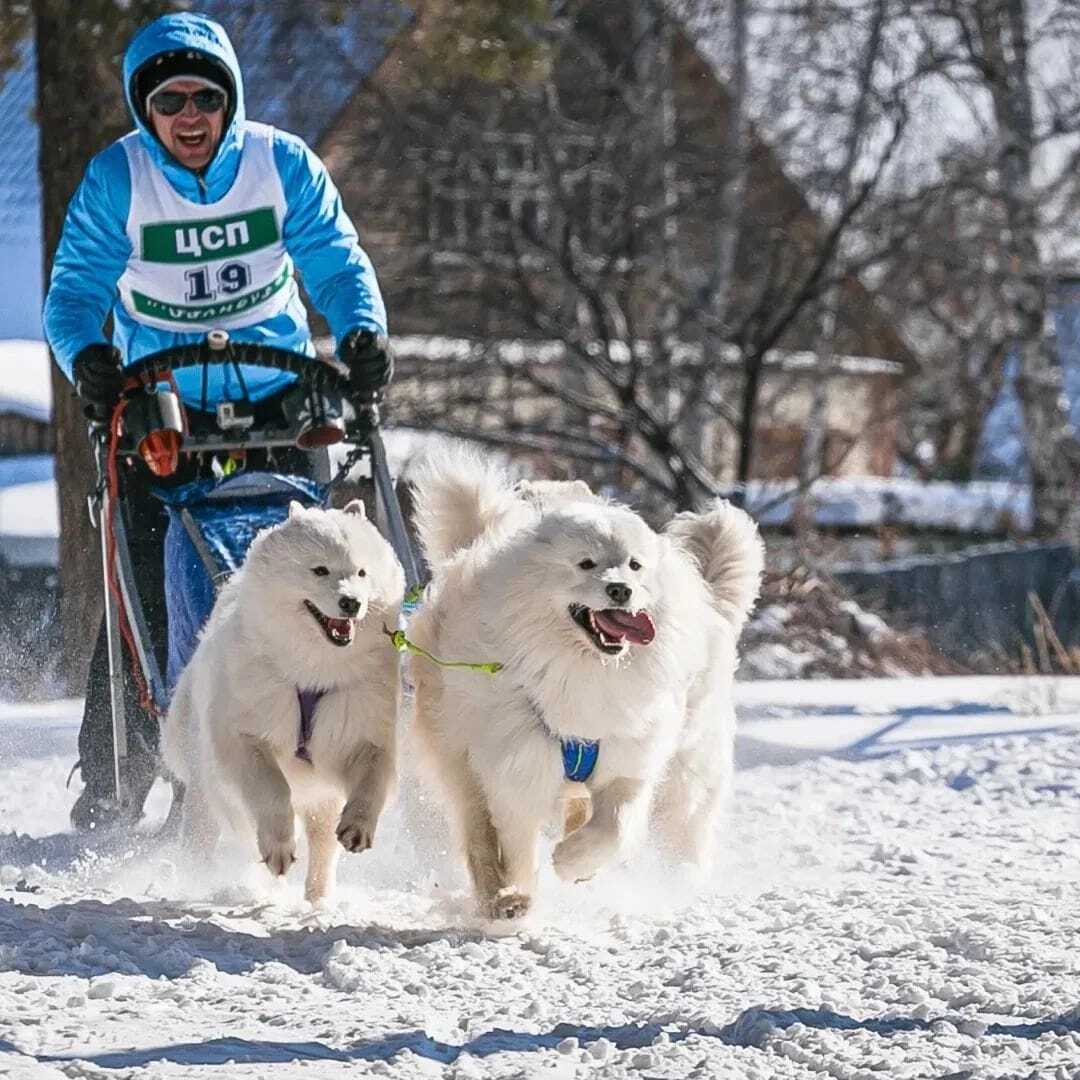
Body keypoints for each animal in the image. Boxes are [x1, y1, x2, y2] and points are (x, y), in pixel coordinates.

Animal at [164, 498, 406, 902]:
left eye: (361, 572)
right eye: (320, 570)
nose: (351, 602)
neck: (313, 674)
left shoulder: (360, 731)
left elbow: (372, 779)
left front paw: (358, 826)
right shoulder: (246, 737)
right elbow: (273, 791)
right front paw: (278, 849)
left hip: (321, 800)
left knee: (323, 846)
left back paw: (318, 898)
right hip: (205, 791)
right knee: (206, 831)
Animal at [406, 451, 768, 915]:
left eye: (634, 565)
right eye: (586, 563)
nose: (621, 590)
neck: (584, 668)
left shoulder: (629, 758)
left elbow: (614, 827)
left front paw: (573, 862)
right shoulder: (517, 767)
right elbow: (516, 846)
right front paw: (518, 899)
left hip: (688, 769)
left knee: (678, 820)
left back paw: (675, 876)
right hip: (458, 757)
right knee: (478, 833)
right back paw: (498, 898)